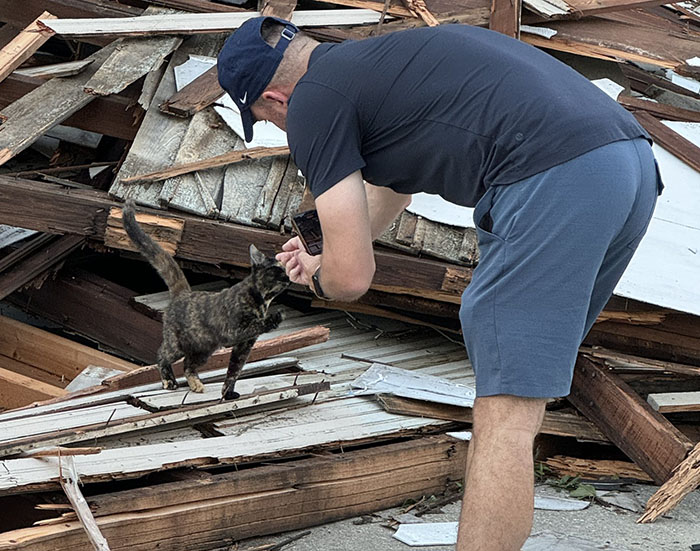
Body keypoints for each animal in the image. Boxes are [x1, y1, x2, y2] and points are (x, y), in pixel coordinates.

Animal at [123, 201, 290, 398]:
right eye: (277, 269)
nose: (288, 276)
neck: (262, 301)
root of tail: (183, 293)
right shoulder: (234, 332)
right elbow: (257, 324)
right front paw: (275, 317)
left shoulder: (245, 345)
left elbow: (234, 371)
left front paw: (227, 393)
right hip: (177, 345)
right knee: (162, 355)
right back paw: (169, 381)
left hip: (203, 350)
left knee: (187, 365)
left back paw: (195, 384)